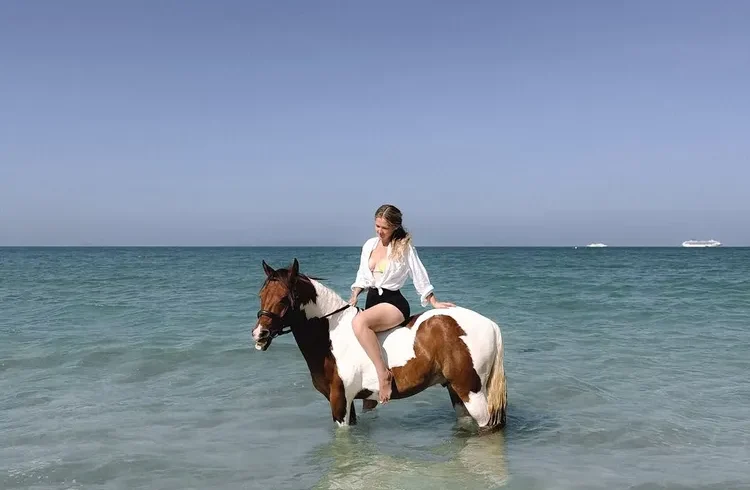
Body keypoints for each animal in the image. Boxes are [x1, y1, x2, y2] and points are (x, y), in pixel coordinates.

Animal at [251, 258, 507, 432]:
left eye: (284, 298)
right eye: (261, 295)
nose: (259, 335)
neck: (331, 335)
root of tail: (490, 324)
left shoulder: (339, 401)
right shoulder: (349, 403)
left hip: (471, 392)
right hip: (455, 391)